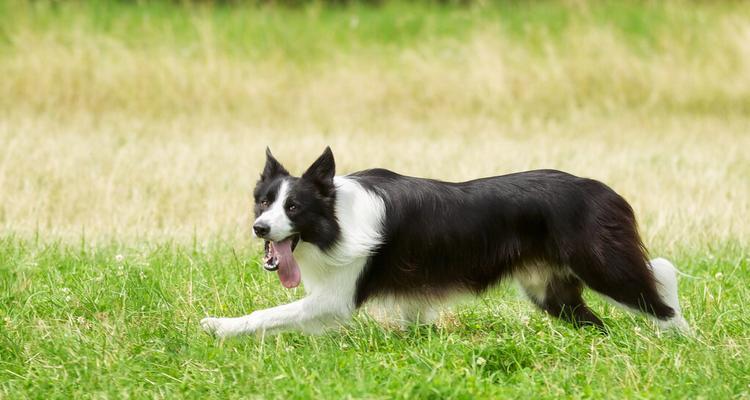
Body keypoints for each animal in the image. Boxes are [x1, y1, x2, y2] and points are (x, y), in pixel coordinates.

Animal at [201, 148, 692, 338]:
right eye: (264, 202)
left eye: (294, 207)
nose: (260, 229)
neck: (334, 217)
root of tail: (608, 193)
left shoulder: (335, 298)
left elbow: (268, 313)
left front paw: (220, 326)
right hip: (551, 293)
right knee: (601, 322)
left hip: (604, 266)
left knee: (660, 294)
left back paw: (682, 342)